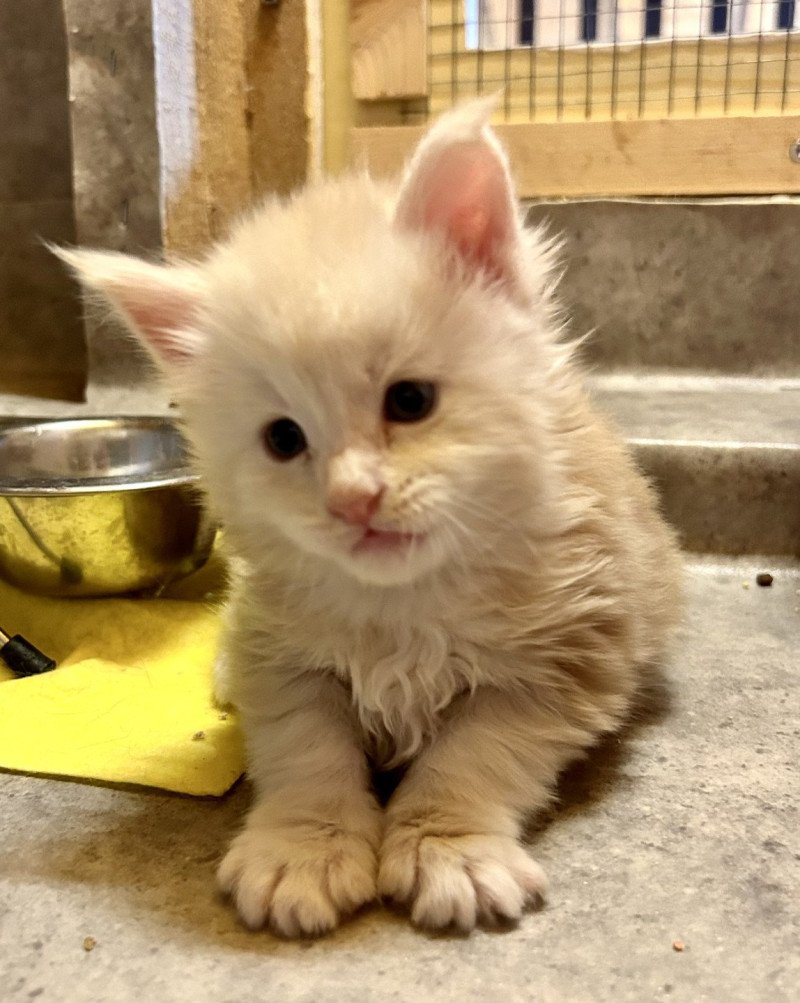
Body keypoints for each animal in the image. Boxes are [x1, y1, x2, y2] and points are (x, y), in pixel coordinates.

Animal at [61, 97, 681, 934]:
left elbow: (472, 759)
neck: (403, 609)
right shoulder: (283, 655)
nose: (352, 498)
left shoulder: (563, 659)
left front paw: (450, 849)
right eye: (284, 439)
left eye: (410, 401)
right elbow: (306, 755)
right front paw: (304, 849)